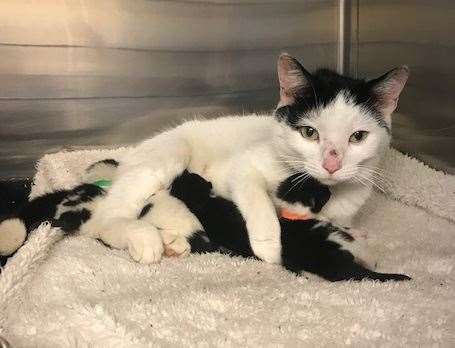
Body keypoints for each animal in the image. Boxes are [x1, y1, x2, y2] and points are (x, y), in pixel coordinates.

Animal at [81, 53, 410, 264]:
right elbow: (256, 196)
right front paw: (268, 244)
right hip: (166, 157)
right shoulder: (242, 167)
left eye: (358, 137)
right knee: (105, 219)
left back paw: (172, 242)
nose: (332, 165)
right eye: (309, 132)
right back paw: (142, 237)